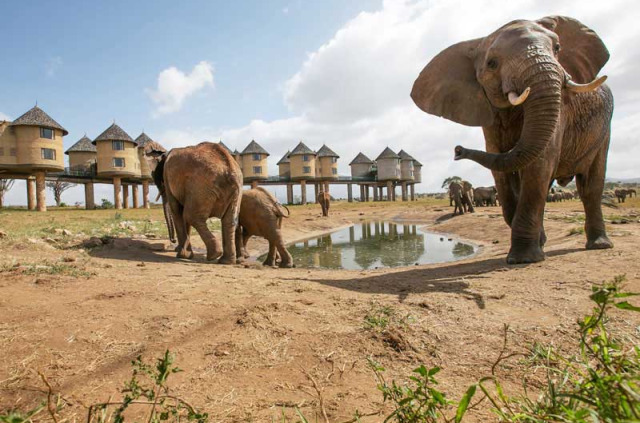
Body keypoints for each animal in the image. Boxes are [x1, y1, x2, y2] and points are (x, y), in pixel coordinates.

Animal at [412, 16, 612, 264]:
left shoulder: (561, 111)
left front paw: (524, 258)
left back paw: (599, 245)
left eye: (557, 48)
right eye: (492, 63)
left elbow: (539, 164)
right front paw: (534, 247)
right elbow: (502, 170)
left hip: (604, 130)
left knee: (591, 186)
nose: (457, 150)